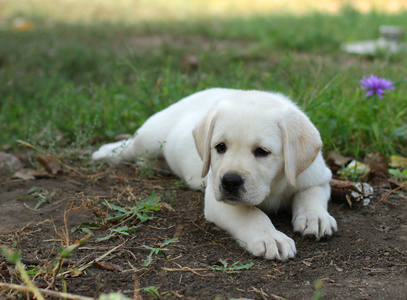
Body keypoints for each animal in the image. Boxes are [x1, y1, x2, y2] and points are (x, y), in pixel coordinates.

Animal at [92, 87, 338, 260]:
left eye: (262, 152)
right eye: (220, 147)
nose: (230, 182)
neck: (274, 186)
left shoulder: (318, 177)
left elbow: (310, 195)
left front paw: (314, 217)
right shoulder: (216, 200)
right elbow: (251, 214)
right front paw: (270, 237)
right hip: (150, 138)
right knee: (133, 146)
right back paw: (109, 152)